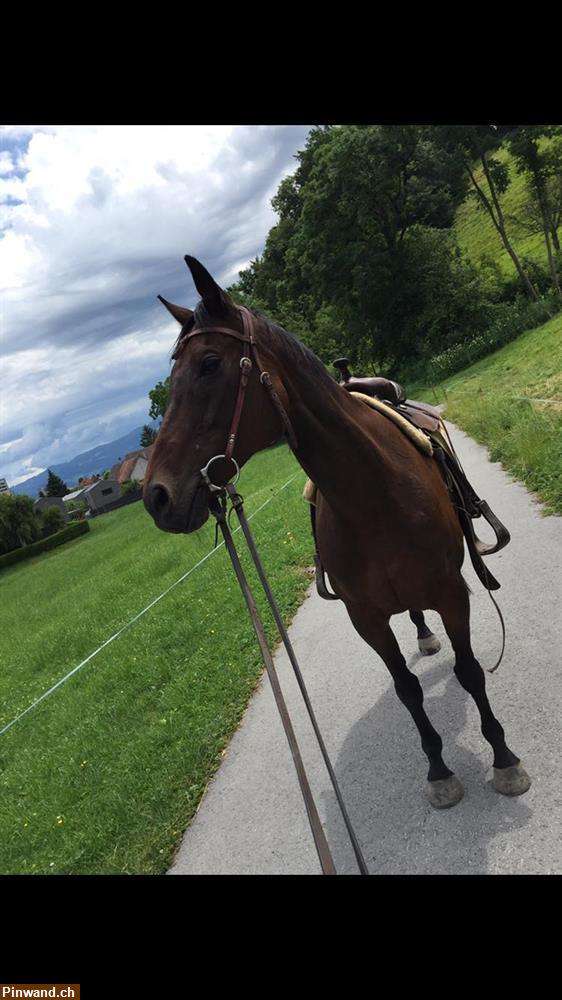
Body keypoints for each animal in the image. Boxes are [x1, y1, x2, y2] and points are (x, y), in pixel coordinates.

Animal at [142, 254, 528, 808]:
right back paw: (424, 635)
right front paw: (438, 769)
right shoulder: (365, 618)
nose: (157, 497)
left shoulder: (453, 594)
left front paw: (504, 759)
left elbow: (471, 671)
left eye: (210, 364)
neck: (374, 493)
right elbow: (407, 689)